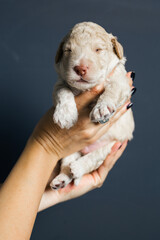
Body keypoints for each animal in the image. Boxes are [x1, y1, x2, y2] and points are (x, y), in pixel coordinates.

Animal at [49, 21, 134, 189]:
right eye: (68, 50)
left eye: (98, 50)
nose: (80, 69)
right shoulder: (60, 83)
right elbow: (63, 91)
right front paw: (65, 114)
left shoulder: (121, 80)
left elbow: (112, 89)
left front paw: (102, 108)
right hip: (70, 150)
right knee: (67, 163)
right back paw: (62, 179)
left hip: (111, 145)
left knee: (93, 158)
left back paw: (78, 168)